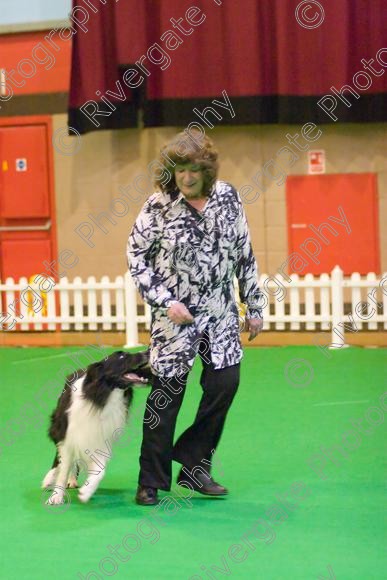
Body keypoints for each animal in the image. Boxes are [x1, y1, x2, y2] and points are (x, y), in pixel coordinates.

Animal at [42, 348, 152, 502]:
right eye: (122, 357)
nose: (148, 351)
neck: (105, 396)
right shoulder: (69, 433)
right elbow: (64, 467)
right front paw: (56, 497)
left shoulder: (101, 435)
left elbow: (100, 469)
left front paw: (86, 491)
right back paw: (50, 478)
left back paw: (72, 480)